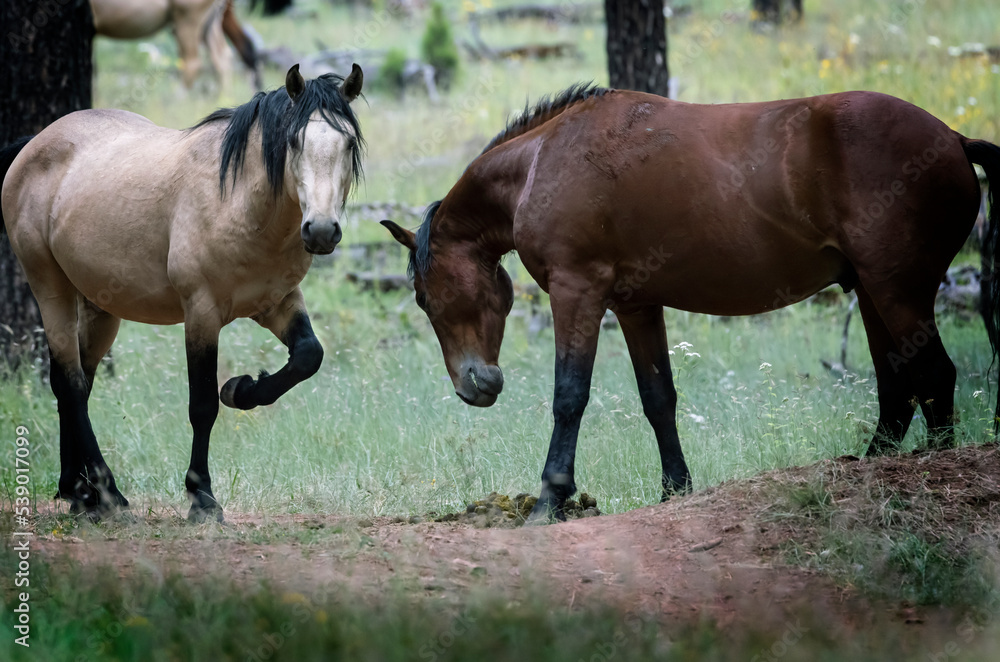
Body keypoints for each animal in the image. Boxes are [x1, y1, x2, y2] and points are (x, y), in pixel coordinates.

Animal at [0, 64, 364, 521]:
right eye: (294, 142)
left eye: (347, 143)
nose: (320, 230)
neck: (238, 202)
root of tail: (34, 145)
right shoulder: (201, 313)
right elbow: (203, 405)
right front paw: (202, 497)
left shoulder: (278, 302)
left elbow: (307, 356)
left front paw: (242, 389)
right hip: (50, 288)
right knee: (70, 384)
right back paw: (106, 493)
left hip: (99, 307)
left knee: (78, 381)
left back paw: (79, 492)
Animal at [382, 85, 1000, 522]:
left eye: (423, 296)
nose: (474, 386)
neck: (544, 159)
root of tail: (953, 137)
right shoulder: (635, 306)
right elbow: (659, 399)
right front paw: (674, 490)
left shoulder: (578, 292)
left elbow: (569, 397)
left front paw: (549, 501)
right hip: (872, 294)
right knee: (899, 390)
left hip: (899, 292)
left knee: (935, 378)